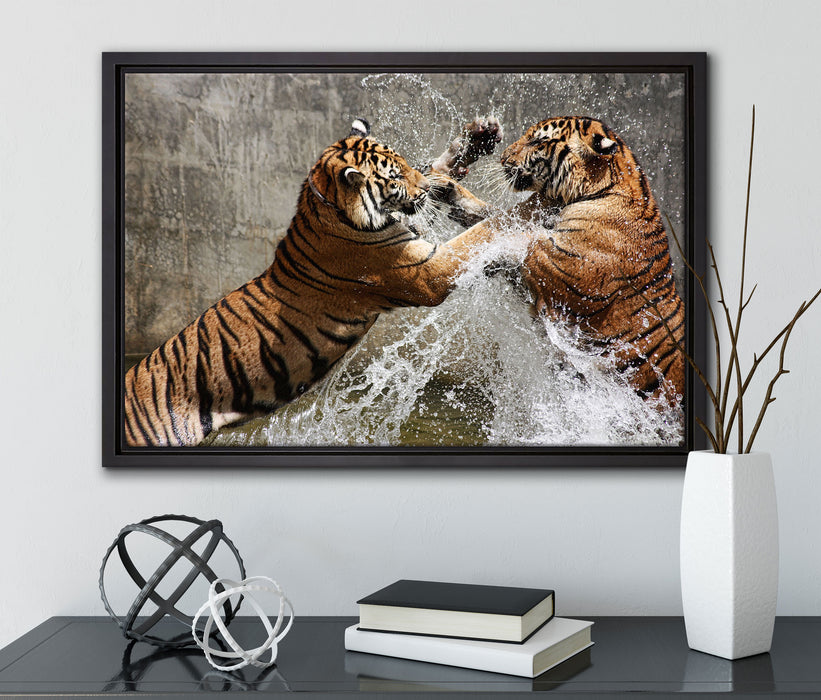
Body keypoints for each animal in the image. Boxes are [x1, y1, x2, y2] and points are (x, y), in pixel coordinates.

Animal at [124, 117, 505, 447]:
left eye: (405, 162)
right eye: (395, 177)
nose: (424, 189)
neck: (328, 205)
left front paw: (476, 139)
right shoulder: (426, 271)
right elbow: (481, 232)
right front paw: (516, 215)